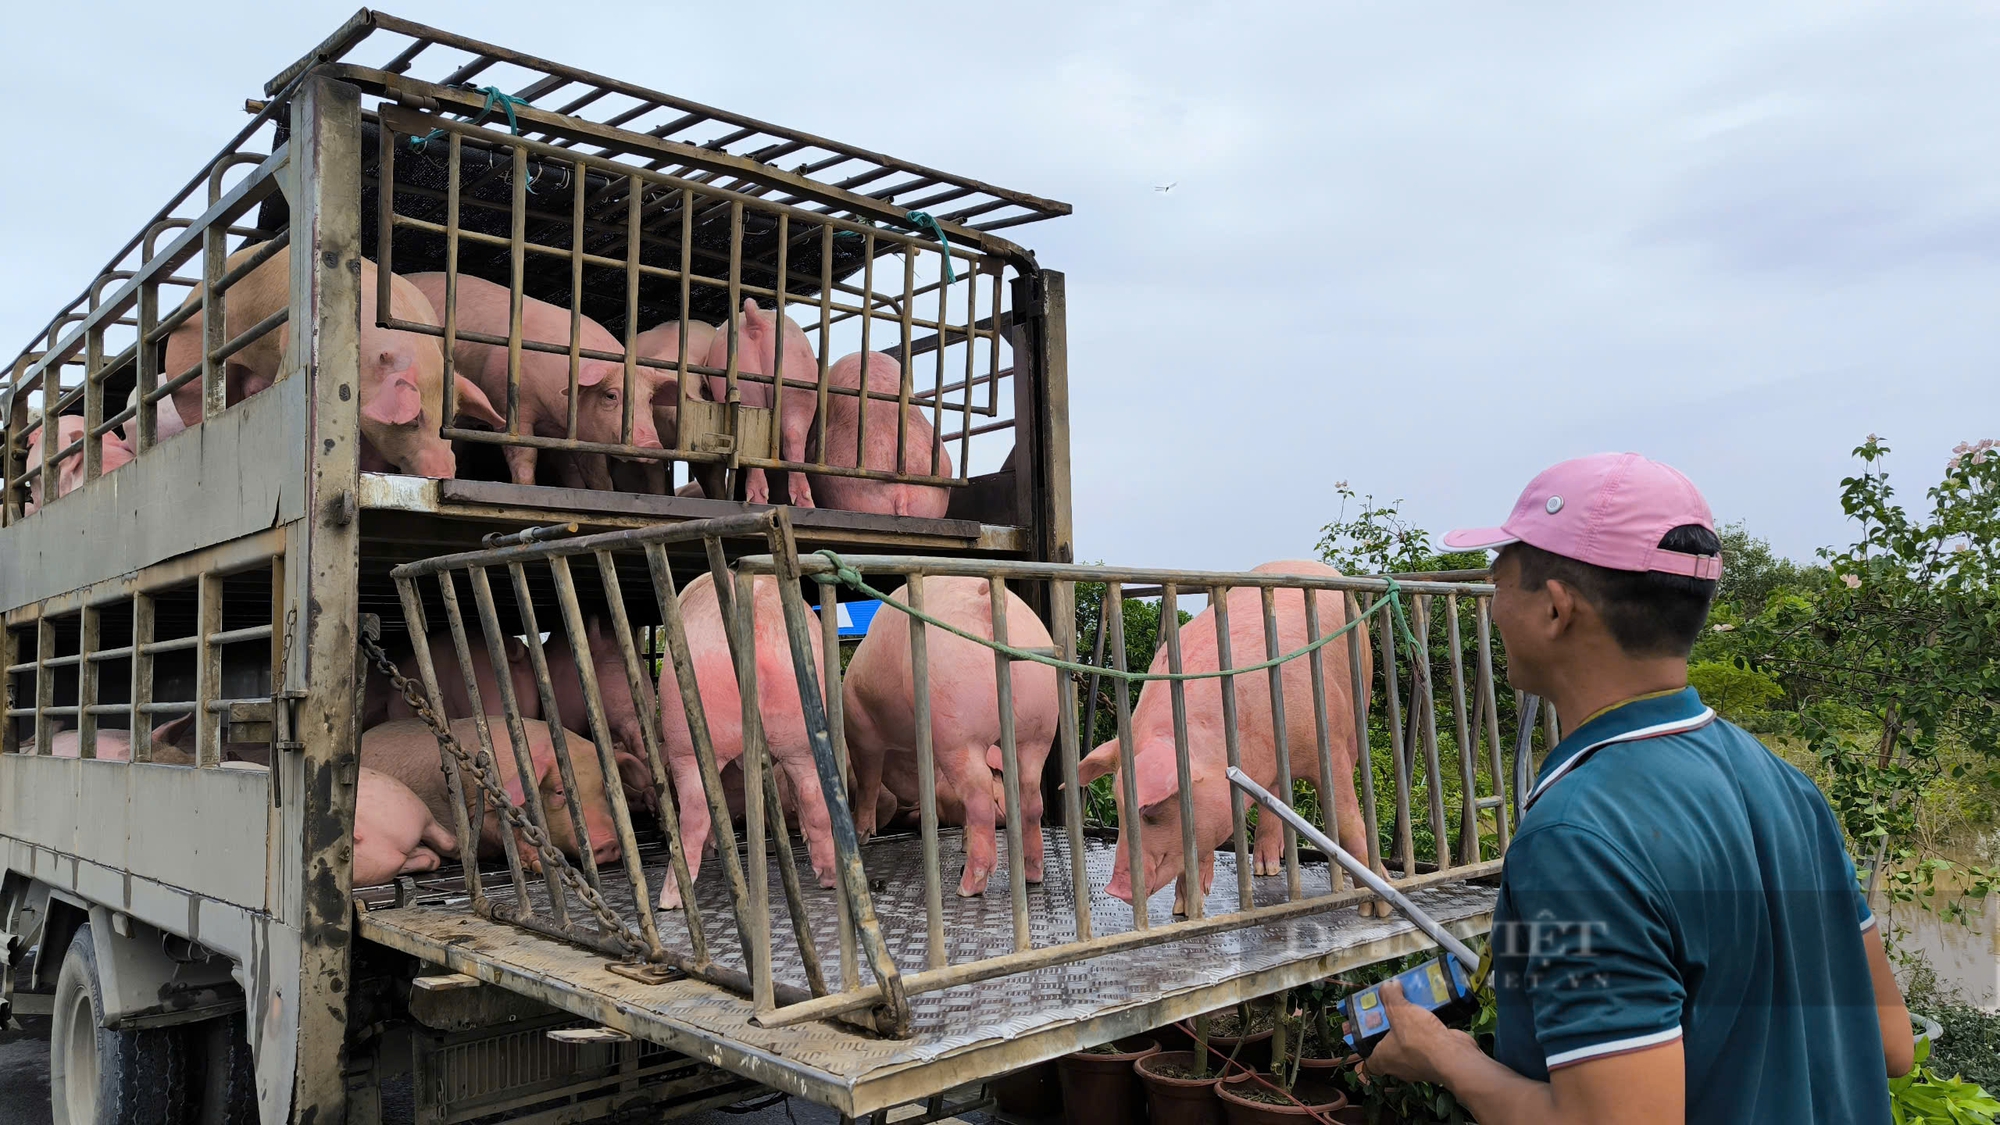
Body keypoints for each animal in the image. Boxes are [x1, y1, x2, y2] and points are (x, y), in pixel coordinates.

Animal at [410, 270, 668, 486]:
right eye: (611, 395)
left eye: (649, 399)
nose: (653, 444)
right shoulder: (505, 403)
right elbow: (523, 454)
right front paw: (525, 486)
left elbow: (594, 470)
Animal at [660, 572, 832, 904]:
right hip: (800, 724)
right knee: (811, 794)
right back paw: (828, 878)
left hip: (687, 736)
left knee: (695, 812)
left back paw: (669, 899)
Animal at [844, 576, 1064, 892]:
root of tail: (987, 605)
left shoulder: (861, 728)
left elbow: (868, 781)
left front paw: (863, 834)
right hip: (1039, 726)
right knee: (1030, 796)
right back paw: (1031, 875)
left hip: (956, 725)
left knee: (980, 796)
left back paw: (968, 886)